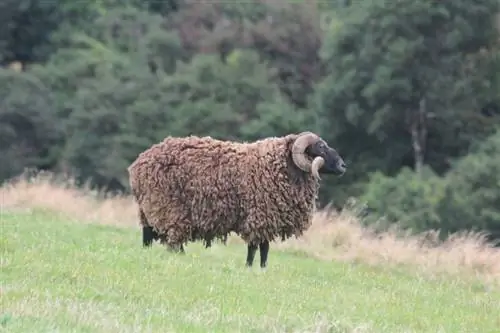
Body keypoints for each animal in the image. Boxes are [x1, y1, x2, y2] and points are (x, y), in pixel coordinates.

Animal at [127, 132, 346, 268]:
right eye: (320, 147)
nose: (343, 165)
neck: (280, 165)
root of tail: (138, 164)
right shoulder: (260, 216)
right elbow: (256, 247)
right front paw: (250, 267)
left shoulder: (266, 218)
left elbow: (264, 248)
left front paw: (262, 268)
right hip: (167, 207)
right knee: (172, 239)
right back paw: (179, 257)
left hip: (149, 208)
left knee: (148, 235)